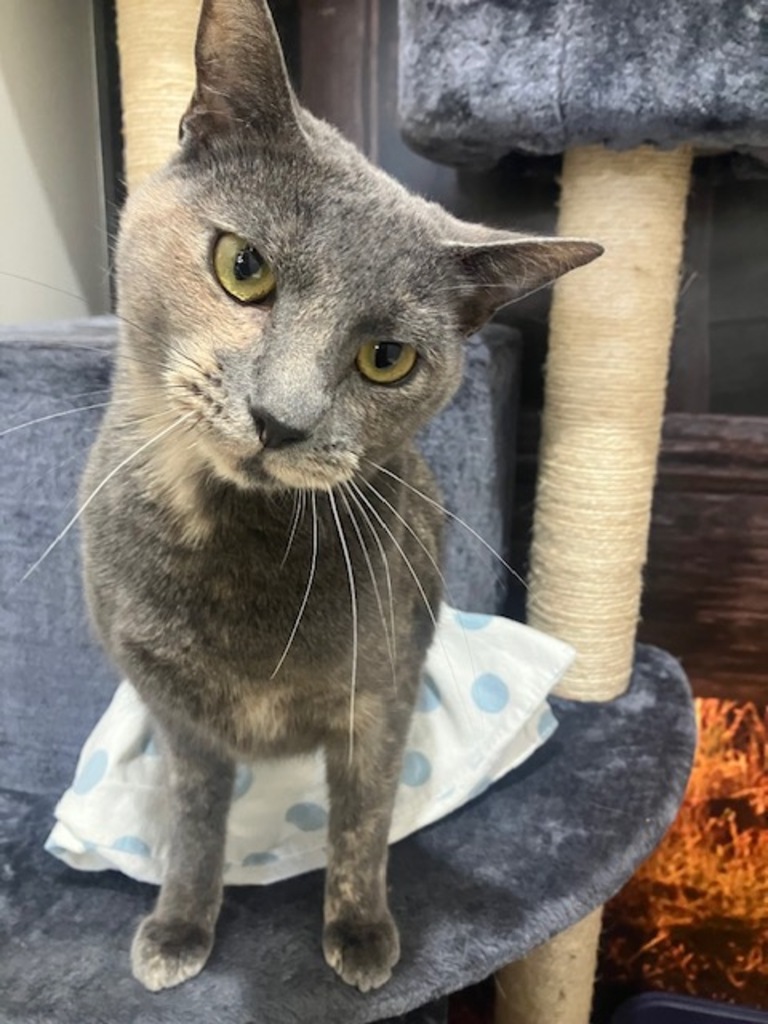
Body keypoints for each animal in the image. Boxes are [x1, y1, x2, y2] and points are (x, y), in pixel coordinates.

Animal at [79, 0, 601, 995]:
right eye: (243, 267)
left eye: (386, 358)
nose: (279, 420)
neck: (234, 556)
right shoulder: (175, 716)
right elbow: (194, 821)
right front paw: (179, 927)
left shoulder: (382, 692)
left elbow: (361, 820)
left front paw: (360, 934)